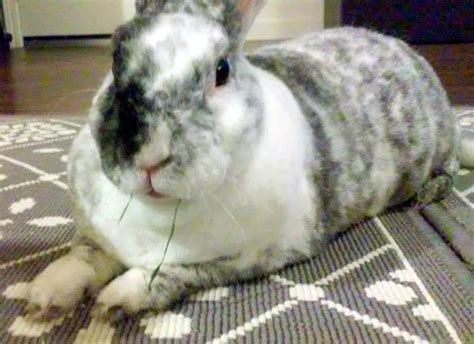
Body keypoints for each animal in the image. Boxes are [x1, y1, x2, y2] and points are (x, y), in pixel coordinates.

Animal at [25, 0, 470, 320]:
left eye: (221, 71)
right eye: (114, 58)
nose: (149, 156)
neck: (159, 210)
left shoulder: (244, 257)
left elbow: (167, 273)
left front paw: (115, 301)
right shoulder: (96, 238)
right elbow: (82, 258)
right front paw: (40, 296)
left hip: (438, 146)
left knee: (449, 167)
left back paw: (428, 194)